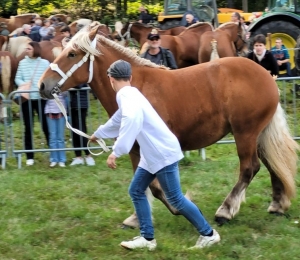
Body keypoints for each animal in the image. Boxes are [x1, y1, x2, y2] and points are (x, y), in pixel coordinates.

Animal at [39, 27, 298, 229]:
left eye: (72, 54)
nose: (42, 85)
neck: (135, 87)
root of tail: (266, 75)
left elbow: (155, 188)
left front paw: (178, 207)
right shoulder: (135, 150)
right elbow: (142, 186)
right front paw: (136, 217)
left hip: (245, 133)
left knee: (249, 168)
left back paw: (226, 210)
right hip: (258, 135)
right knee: (271, 164)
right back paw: (277, 204)